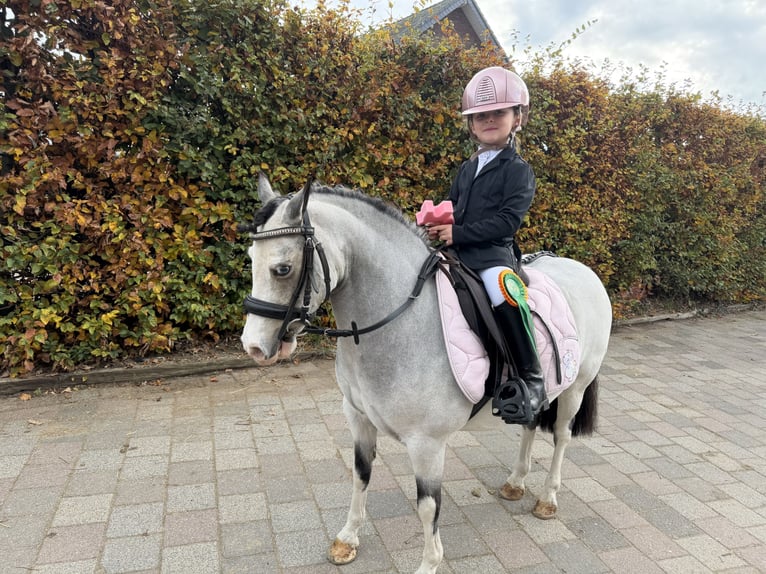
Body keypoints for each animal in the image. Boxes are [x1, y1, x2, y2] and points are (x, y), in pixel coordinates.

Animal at [240, 174, 612, 574]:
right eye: (251, 259)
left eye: (282, 268)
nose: (253, 346)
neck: (399, 321)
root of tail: (583, 270)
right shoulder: (358, 418)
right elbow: (360, 474)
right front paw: (348, 538)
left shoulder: (427, 443)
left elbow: (428, 506)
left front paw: (428, 563)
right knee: (530, 424)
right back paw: (516, 482)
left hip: (576, 387)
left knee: (561, 437)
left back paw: (547, 499)